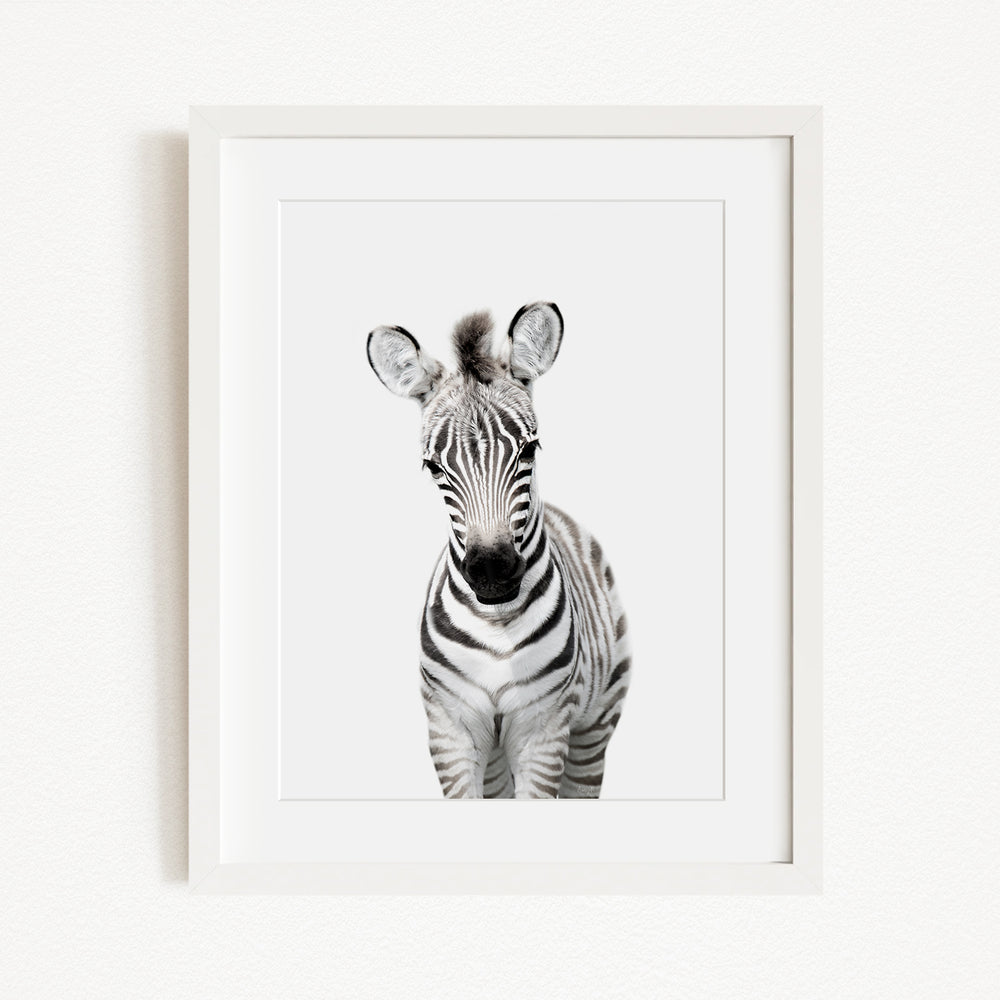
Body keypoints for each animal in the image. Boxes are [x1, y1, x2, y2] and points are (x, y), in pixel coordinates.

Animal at [366, 302, 630, 798]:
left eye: (530, 449)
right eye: (433, 467)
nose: (491, 571)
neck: (497, 625)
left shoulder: (544, 731)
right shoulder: (450, 730)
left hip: (595, 725)